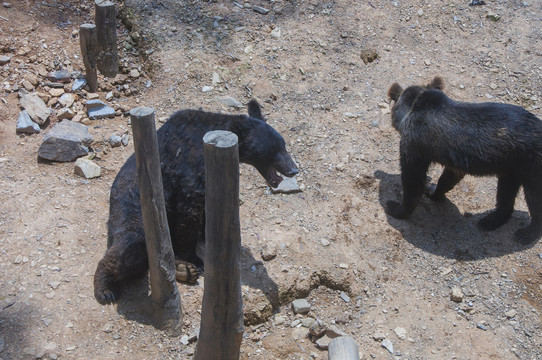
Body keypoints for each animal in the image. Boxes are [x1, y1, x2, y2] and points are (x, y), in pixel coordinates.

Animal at [93, 100, 298, 306]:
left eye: (283, 145)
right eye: (273, 150)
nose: (293, 170)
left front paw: (208, 234)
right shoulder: (189, 166)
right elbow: (189, 211)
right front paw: (196, 259)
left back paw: (183, 270)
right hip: (135, 215)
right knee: (130, 249)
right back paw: (106, 289)